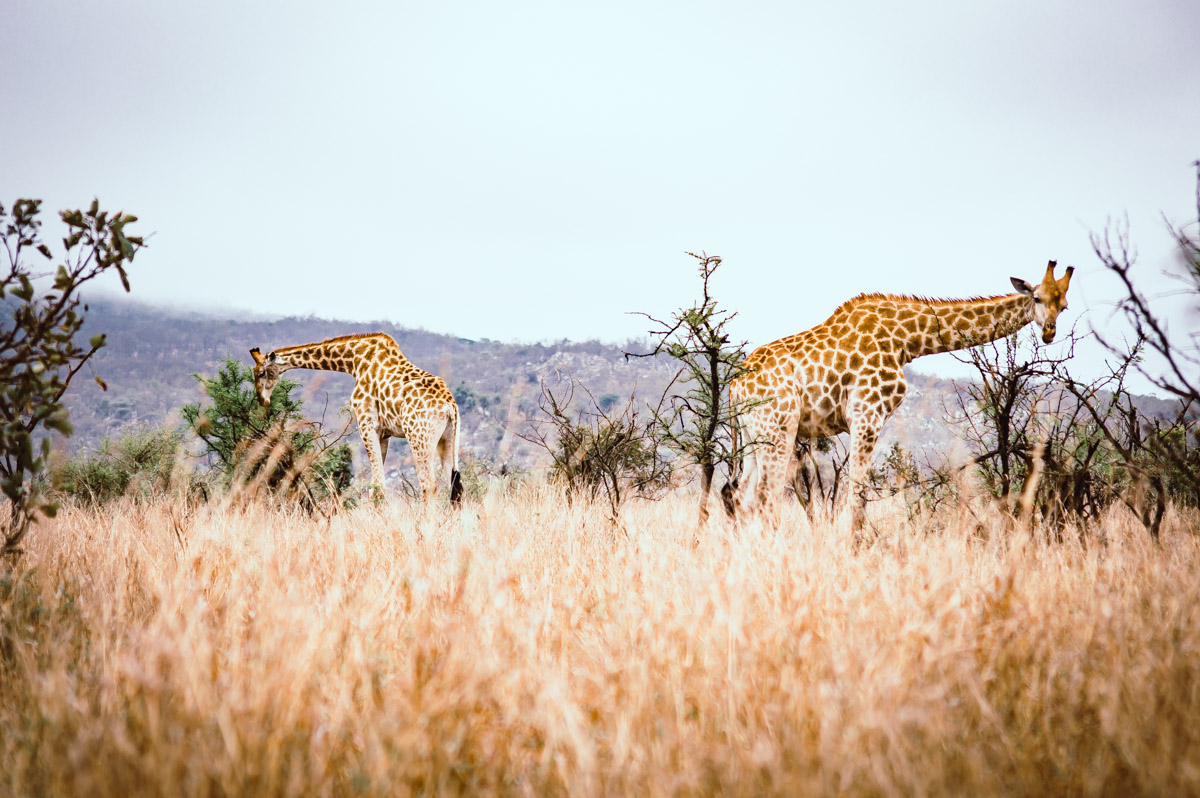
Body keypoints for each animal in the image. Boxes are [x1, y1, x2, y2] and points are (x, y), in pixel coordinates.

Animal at [249, 333, 463, 506]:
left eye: (261, 372)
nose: (262, 400)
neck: (354, 361)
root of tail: (449, 406)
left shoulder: (366, 424)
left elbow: (378, 485)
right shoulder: (384, 433)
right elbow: (376, 484)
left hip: (419, 438)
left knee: (429, 484)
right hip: (446, 439)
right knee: (455, 485)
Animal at [729, 258, 1080, 528]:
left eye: (1063, 306)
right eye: (1037, 299)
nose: (1049, 333)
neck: (907, 340)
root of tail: (735, 386)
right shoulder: (866, 416)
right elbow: (856, 498)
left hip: (753, 435)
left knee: (741, 496)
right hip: (779, 430)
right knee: (765, 497)